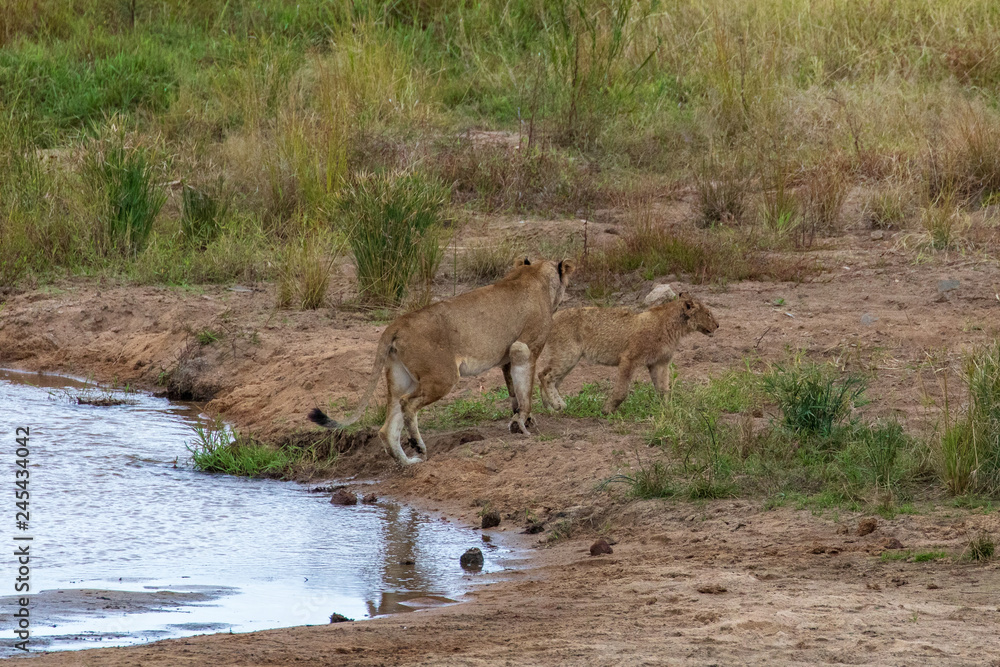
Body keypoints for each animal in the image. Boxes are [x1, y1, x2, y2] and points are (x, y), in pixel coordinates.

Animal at [308, 258, 574, 465]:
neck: (535, 274)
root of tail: (397, 323)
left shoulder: (507, 359)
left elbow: (514, 393)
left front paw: (518, 421)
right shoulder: (524, 349)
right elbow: (526, 391)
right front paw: (524, 424)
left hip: (400, 378)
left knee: (388, 428)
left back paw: (409, 462)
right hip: (443, 377)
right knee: (408, 405)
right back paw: (418, 445)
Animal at [538, 293, 719, 415]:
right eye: (708, 314)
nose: (718, 325)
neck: (676, 328)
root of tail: (554, 315)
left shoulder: (659, 363)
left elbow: (663, 389)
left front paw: (668, 410)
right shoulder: (629, 358)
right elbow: (622, 390)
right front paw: (607, 410)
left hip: (569, 358)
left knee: (547, 378)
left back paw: (551, 408)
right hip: (568, 354)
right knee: (545, 376)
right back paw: (558, 405)